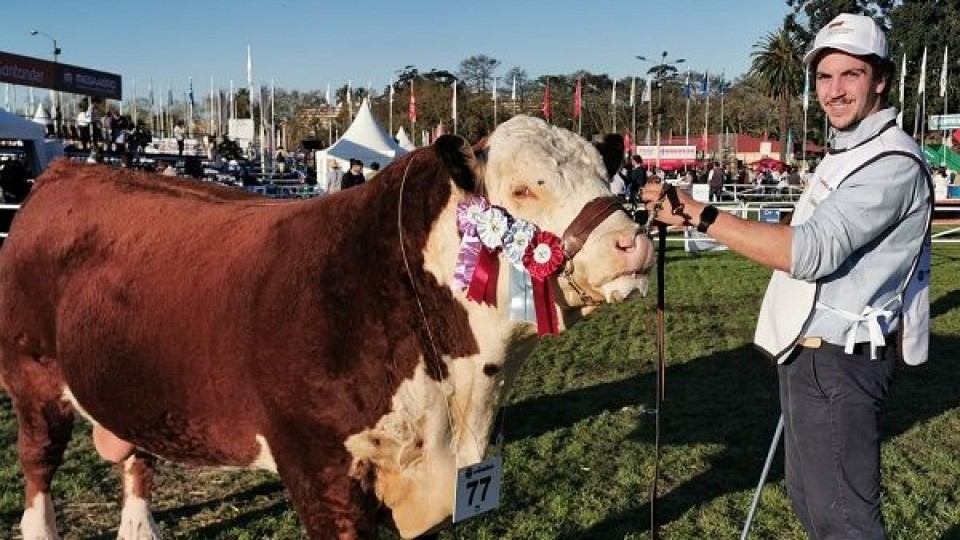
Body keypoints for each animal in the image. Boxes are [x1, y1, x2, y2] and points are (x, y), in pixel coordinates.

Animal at [0, 115, 652, 540]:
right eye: (521, 188)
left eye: (606, 177)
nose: (636, 242)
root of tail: (66, 171)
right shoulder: (320, 469)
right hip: (31, 376)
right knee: (37, 465)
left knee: (136, 455)